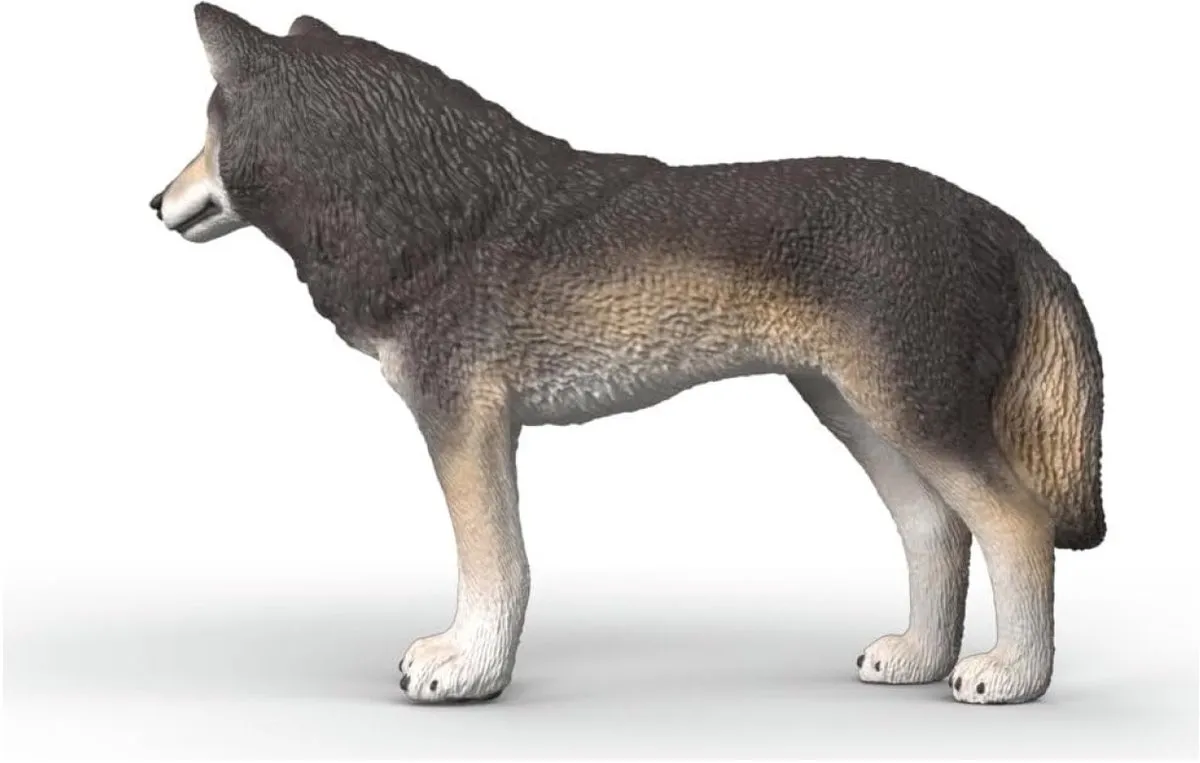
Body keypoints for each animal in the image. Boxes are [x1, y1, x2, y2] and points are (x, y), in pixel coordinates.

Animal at [149, 3, 1105, 706]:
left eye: (206, 131)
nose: (156, 201)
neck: (443, 214)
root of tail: (997, 219)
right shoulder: (486, 428)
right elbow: (503, 561)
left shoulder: (463, 423)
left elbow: (494, 564)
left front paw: (466, 668)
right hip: (862, 415)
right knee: (937, 529)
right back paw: (914, 657)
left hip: (913, 419)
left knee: (1017, 525)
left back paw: (1011, 677)